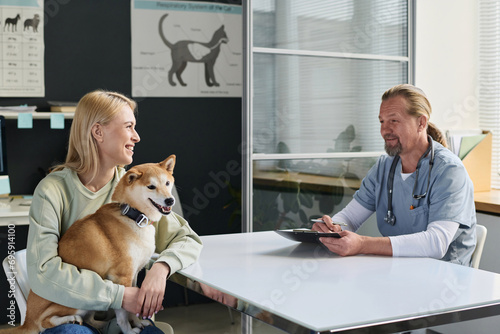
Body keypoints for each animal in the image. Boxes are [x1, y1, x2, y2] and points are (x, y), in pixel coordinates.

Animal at [1, 156, 176, 334]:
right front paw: (128, 330)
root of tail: (27, 319)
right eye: (151, 186)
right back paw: (70, 319)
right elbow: (123, 312)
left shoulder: (132, 276)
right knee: (45, 322)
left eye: (167, 183)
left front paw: (138, 322)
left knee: (90, 319)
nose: (170, 200)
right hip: (76, 301)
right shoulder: (120, 278)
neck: (132, 216)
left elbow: (133, 308)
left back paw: (101, 325)